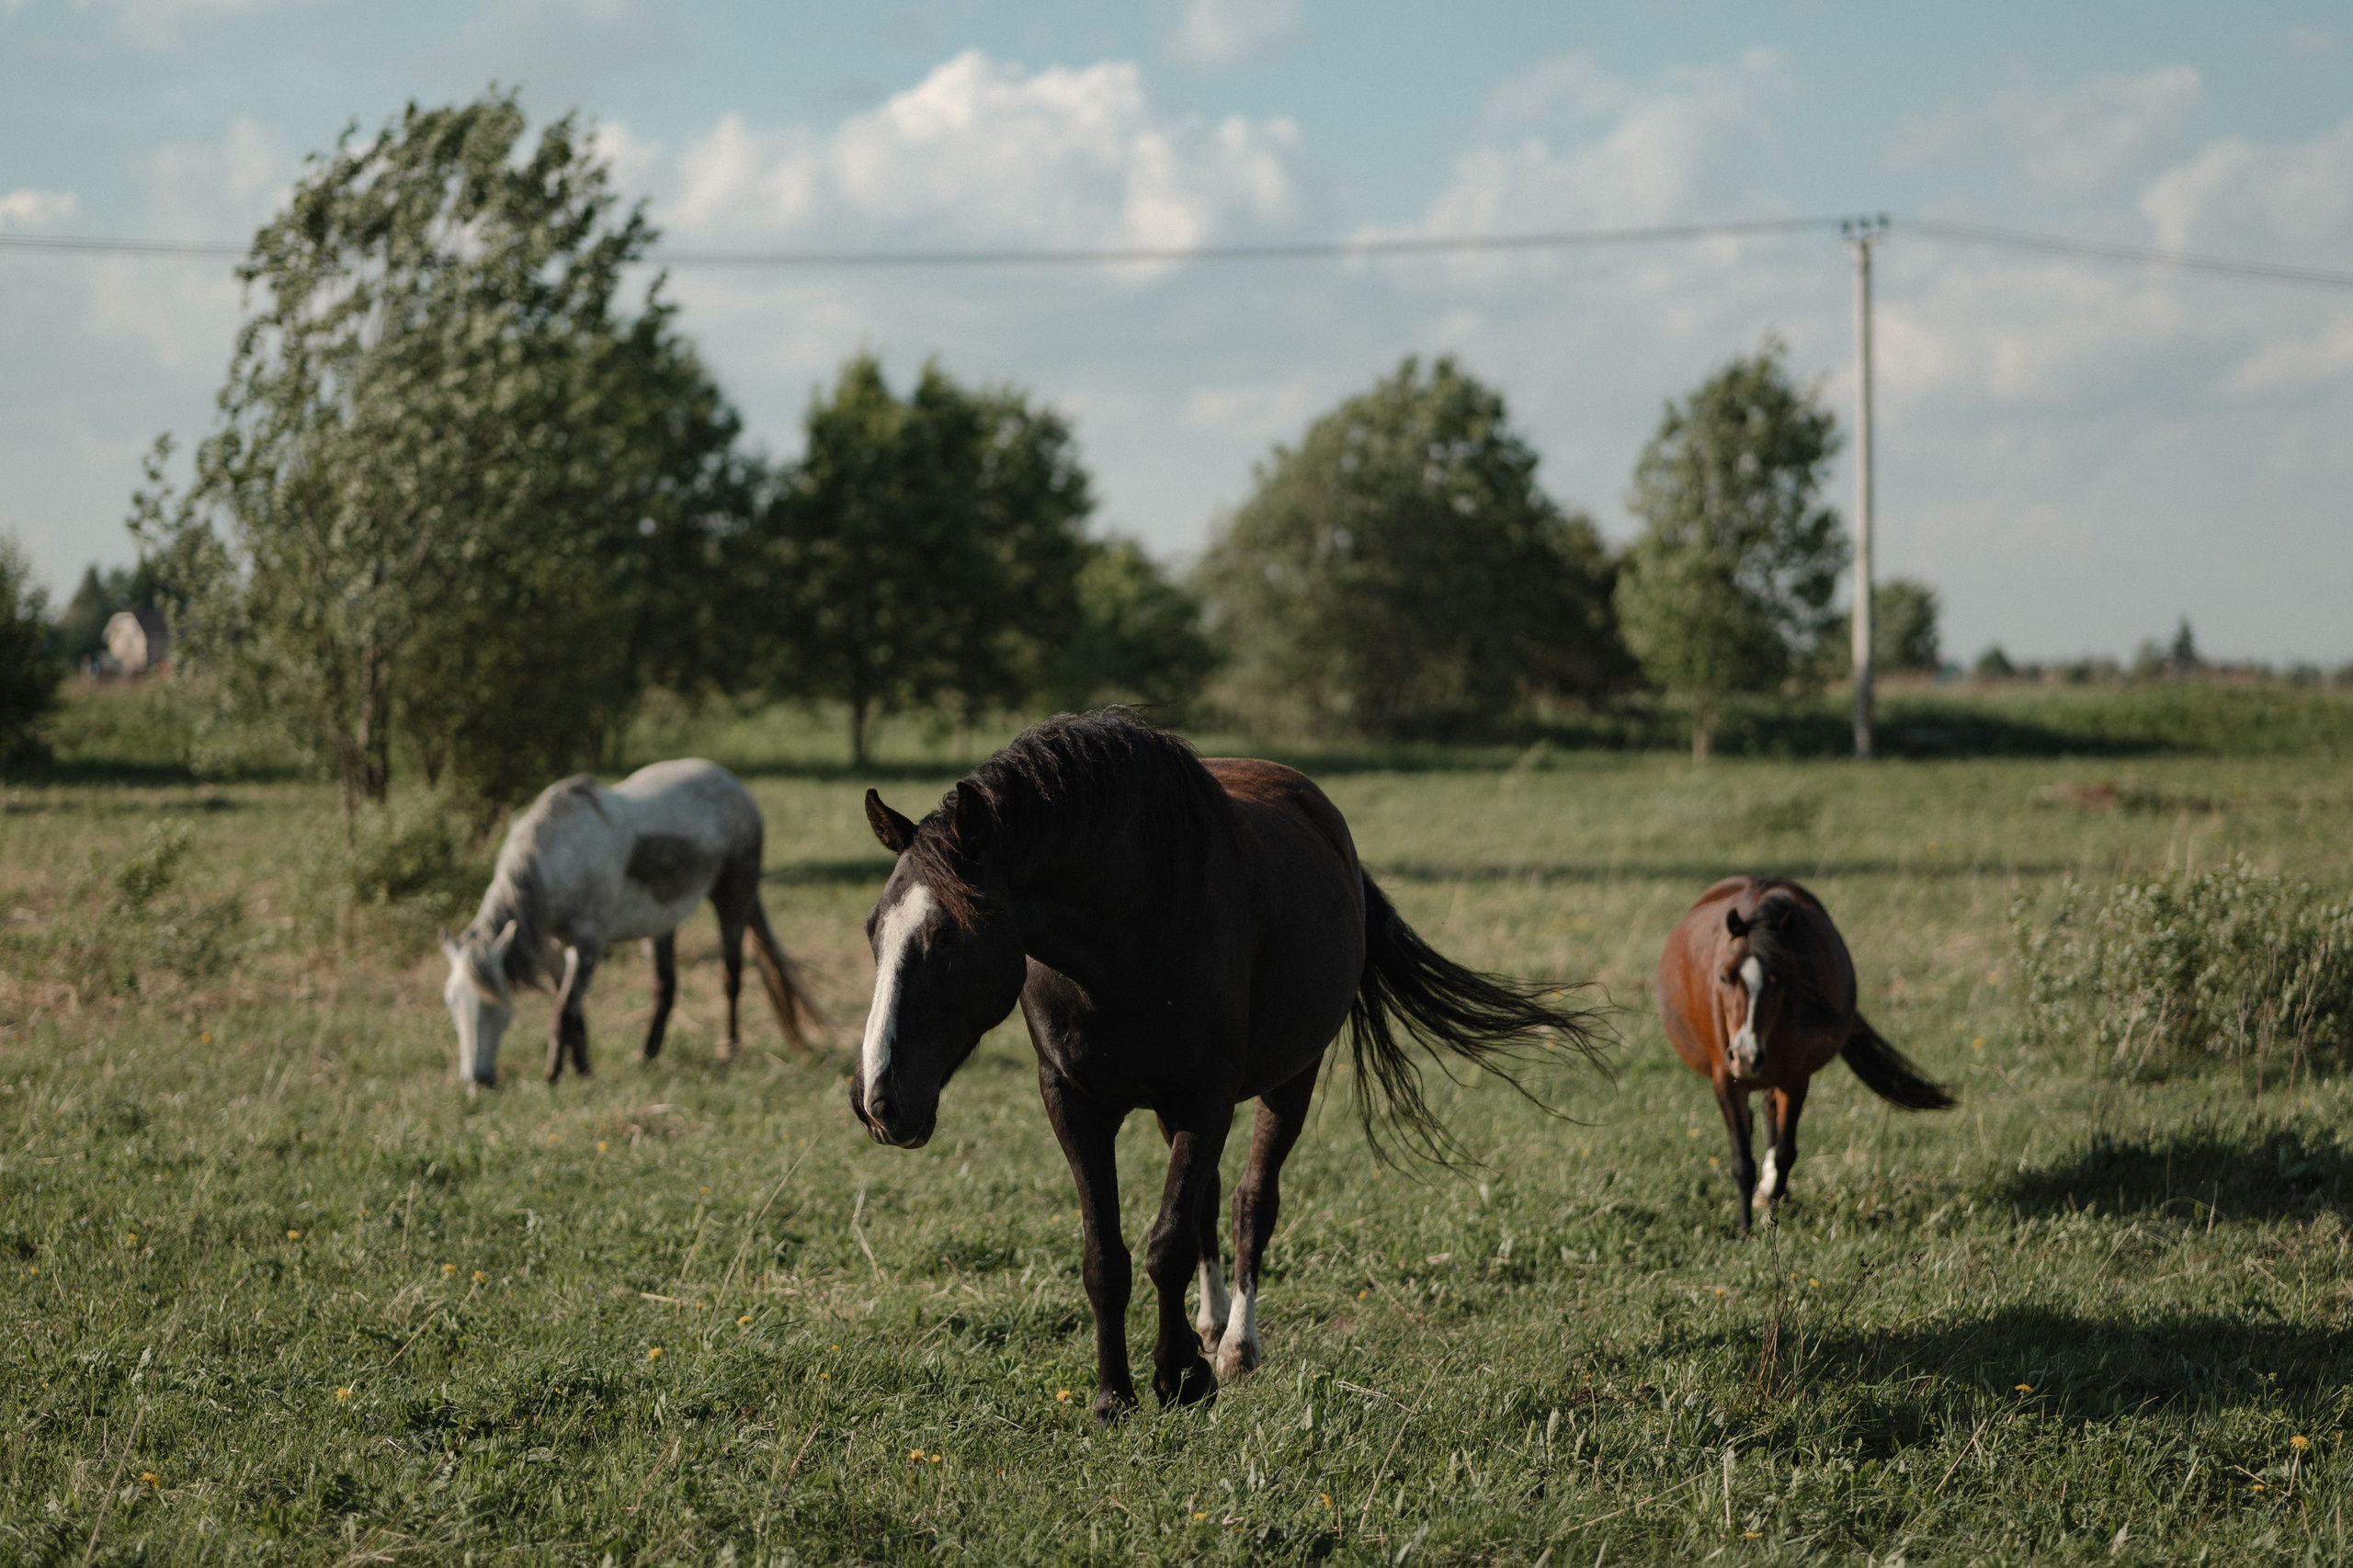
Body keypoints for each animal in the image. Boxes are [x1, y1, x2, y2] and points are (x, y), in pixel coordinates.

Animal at [439, 758, 821, 1088]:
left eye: (495, 1007)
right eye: (451, 1002)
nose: (478, 1080)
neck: (554, 860)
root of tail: (733, 784)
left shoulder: (589, 944)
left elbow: (563, 1014)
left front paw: (553, 1076)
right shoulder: (553, 949)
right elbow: (575, 1014)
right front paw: (583, 1070)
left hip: (733, 899)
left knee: (732, 978)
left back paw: (729, 1051)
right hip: (661, 922)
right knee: (665, 986)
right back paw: (646, 1055)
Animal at [850, 711, 1601, 1419]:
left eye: (948, 938)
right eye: (873, 929)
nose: (879, 1101)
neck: (1132, 924)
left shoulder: (1206, 1095)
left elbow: (1169, 1242)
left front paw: (1179, 1378)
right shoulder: (1074, 1098)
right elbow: (1108, 1255)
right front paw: (1115, 1394)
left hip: (1288, 1082)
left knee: (1249, 1201)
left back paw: (1236, 1346)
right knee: (1209, 1199)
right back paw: (1208, 1329)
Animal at [1657, 876, 1955, 1233]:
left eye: (1780, 979)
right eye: (1725, 977)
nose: (1745, 1056)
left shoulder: (1795, 1079)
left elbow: (1785, 1151)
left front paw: (1771, 1200)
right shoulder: (1725, 1079)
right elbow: (1742, 1161)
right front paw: (1744, 1231)